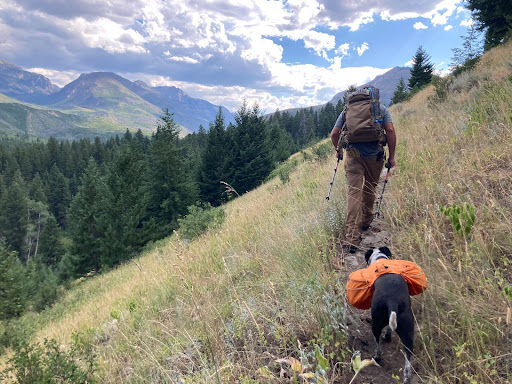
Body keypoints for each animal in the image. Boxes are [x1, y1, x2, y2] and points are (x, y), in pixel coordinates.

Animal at [366, 248, 414, 382]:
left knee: (378, 345)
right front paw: (387, 336)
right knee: (408, 359)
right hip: (408, 331)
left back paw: (377, 358)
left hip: (376, 324)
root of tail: (393, 300)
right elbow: (389, 328)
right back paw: (406, 378)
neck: (380, 259)